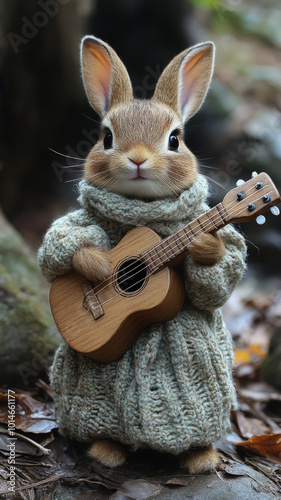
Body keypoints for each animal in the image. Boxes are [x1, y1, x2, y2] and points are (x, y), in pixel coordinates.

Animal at [38, 35, 245, 472]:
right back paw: (106, 450)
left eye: (174, 140)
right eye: (106, 137)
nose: (137, 159)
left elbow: (217, 282)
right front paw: (99, 265)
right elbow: (61, 247)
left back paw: (201, 456)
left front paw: (204, 244)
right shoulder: (75, 225)